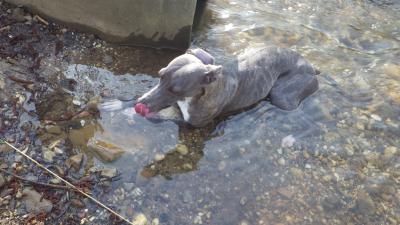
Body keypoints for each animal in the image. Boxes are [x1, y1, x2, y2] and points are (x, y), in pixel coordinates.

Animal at [103, 46, 318, 127]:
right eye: (160, 75)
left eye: (176, 90)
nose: (141, 103)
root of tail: (311, 66)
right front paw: (120, 104)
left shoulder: (193, 123)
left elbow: (162, 116)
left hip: (283, 97)